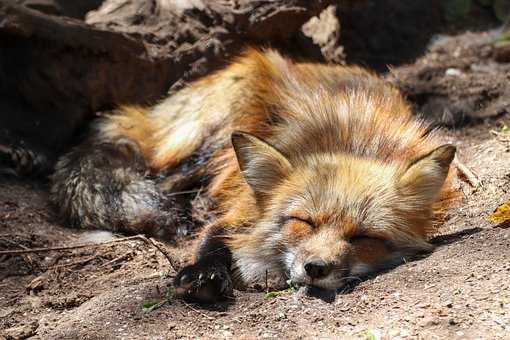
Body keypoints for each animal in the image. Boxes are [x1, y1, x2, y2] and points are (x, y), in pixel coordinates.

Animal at [49, 48, 456, 302]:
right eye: (303, 222)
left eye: (363, 237)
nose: (315, 268)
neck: (354, 141)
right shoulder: (245, 202)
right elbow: (213, 236)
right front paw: (204, 275)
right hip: (214, 139)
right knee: (162, 182)